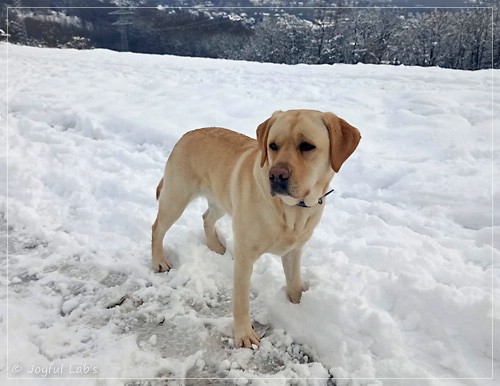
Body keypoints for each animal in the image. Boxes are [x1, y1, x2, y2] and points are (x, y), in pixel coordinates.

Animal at [151, 108, 360, 346]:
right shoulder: (245, 256)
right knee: (157, 228)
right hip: (176, 197)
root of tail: (186, 135)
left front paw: (299, 308)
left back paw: (216, 248)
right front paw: (244, 334)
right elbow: (241, 301)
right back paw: (159, 260)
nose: (276, 175)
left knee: (206, 218)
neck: (291, 210)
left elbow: (294, 284)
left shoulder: (294, 251)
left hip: (222, 200)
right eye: (273, 145)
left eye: (307, 146)